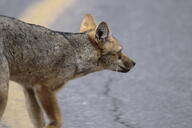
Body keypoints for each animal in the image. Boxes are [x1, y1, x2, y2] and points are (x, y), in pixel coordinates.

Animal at [0, 13, 136, 127]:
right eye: (120, 52)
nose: (134, 63)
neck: (75, 55)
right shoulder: (43, 88)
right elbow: (57, 121)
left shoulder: (29, 89)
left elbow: (39, 122)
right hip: (4, 95)